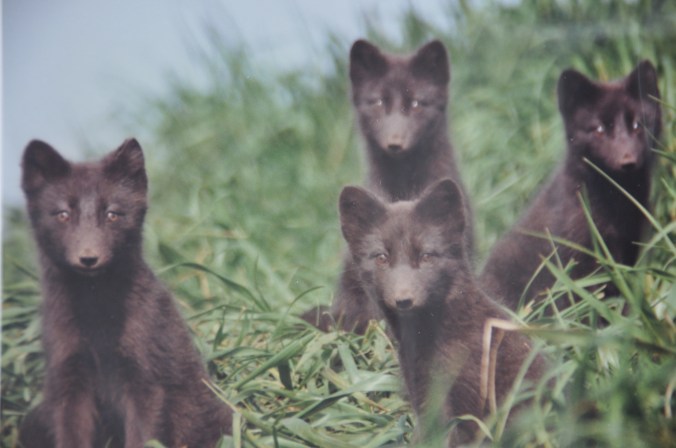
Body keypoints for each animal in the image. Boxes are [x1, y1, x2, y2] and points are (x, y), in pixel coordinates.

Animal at [18, 139, 232, 448]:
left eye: (112, 214)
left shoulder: (145, 379)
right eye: (63, 214)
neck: (95, 314)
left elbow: (142, 436)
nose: (89, 258)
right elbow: (71, 434)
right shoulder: (69, 379)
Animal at [480, 61, 662, 311]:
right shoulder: (573, 261)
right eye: (599, 129)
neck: (614, 204)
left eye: (637, 125)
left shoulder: (629, 253)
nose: (628, 162)